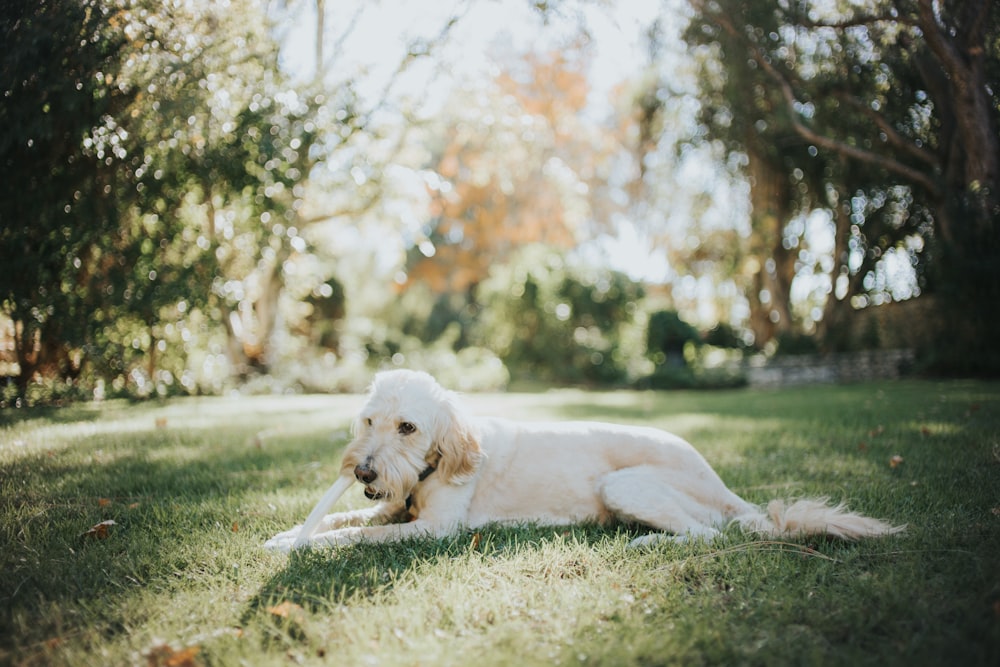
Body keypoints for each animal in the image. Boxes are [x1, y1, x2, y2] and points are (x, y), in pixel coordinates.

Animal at [262, 368, 904, 552]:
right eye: (369, 421)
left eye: (408, 427)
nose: (363, 472)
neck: (439, 458)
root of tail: (726, 488)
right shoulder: (394, 511)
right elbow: (347, 518)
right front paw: (289, 533)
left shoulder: (433, 530)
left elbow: (353, 535)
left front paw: (304, 545)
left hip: (625, 487)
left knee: (708, 535)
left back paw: (645, 543)